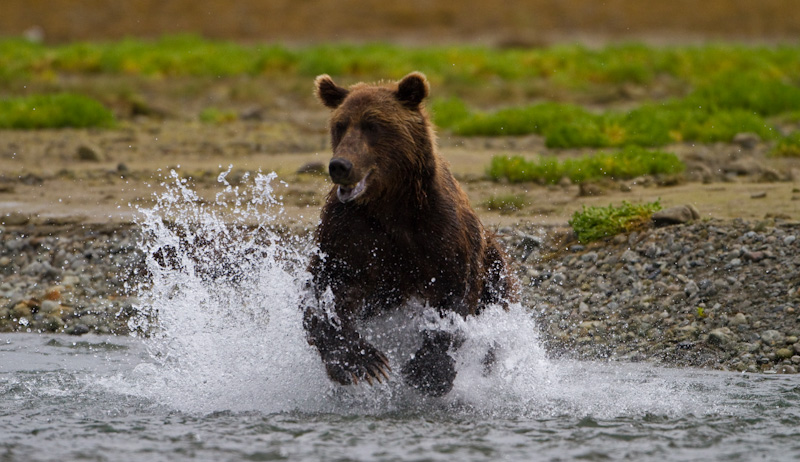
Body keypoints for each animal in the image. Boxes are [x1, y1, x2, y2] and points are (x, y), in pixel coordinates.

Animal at [304, 72, 516, 398]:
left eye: (373, 125)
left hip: (495, 268)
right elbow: (326, 289)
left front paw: (428, 371)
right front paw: (362, 363)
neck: (390, 205)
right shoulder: (348, 232)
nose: (340, 165)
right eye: (340, 125)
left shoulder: (441, 232)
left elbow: (454, 295)